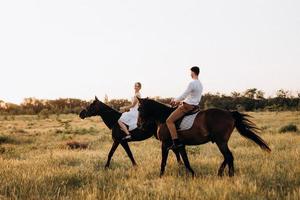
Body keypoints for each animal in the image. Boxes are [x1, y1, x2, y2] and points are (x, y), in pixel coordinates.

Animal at [137, 97, 270, 177]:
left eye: (139, 109)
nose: (139, 125)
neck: (164, 117)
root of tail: (229, 113)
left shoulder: (165, 144)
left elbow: (163, 161)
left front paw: (160, 176)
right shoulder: (180, 145)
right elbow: (185, 160)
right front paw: (192, 174)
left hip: (220, 141)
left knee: (229, 156)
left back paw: (229, 175)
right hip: (221, 141)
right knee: (227, 156)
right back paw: (221, 173)